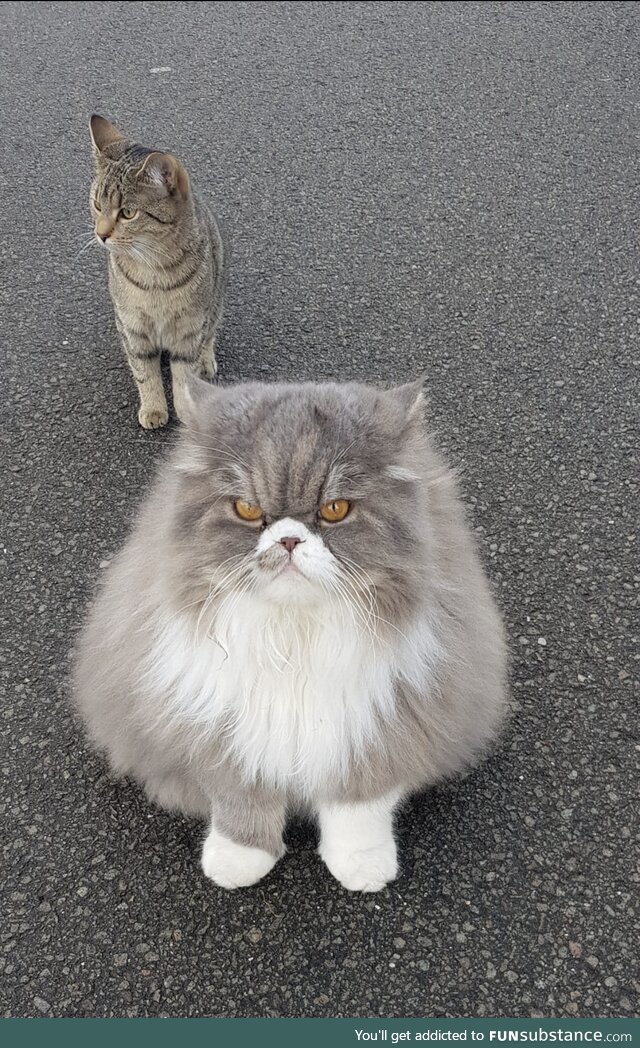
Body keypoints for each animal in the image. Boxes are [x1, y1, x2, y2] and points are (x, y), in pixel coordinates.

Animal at [72, 377, 509, 892]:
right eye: (246, 509)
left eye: (335, 510)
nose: (288, 539)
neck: (293, 638)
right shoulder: (221, 730)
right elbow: (241, 800)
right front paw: (238, 861)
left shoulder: (382, 724)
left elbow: (360, 807)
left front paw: (361, 866)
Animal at [87, 112, 223, 427]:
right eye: (97, 205)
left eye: (128, 213)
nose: (101, 234)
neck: (153, 271)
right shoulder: (132, 328)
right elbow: (144, 372)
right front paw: (153, 408)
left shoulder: (189, 331)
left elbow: (184, 376)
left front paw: (186, 412)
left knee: (210, 333)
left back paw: (207, 361)